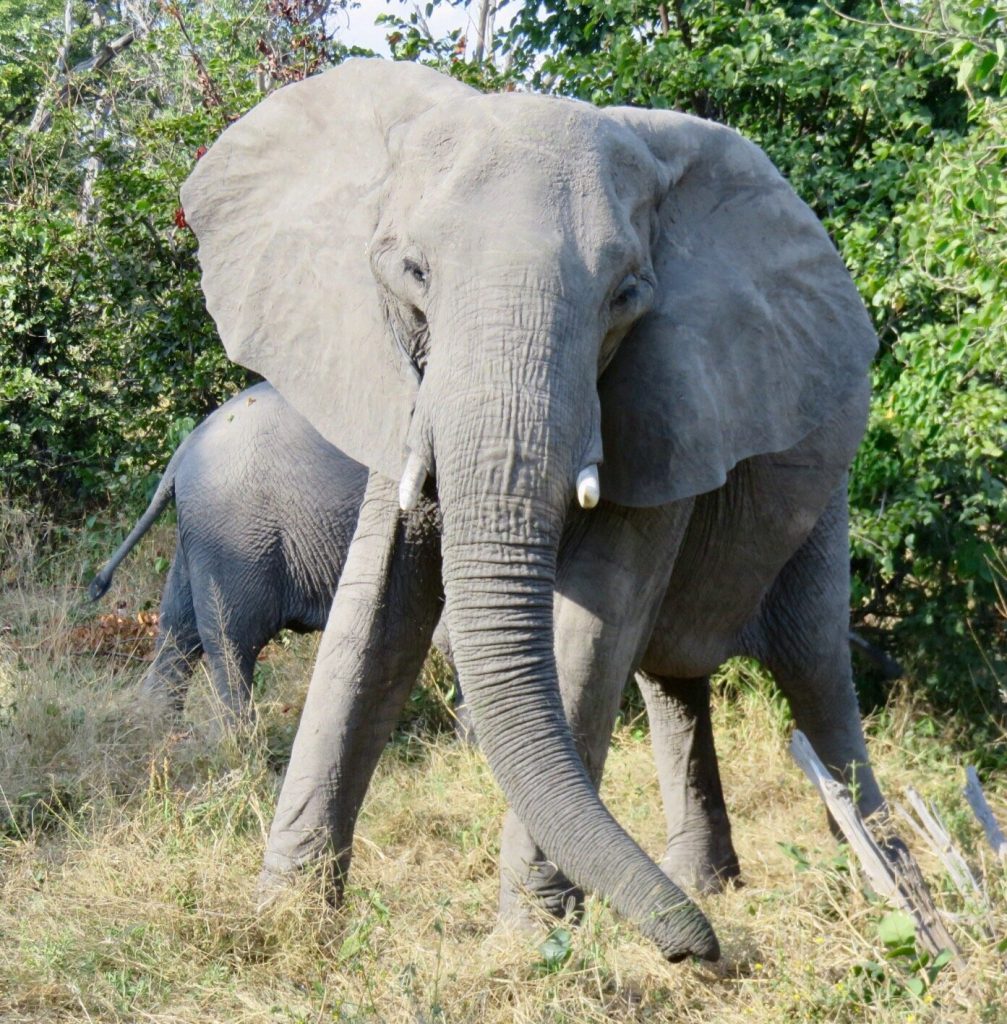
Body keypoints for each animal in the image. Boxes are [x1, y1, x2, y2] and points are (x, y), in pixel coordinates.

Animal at [179, 59, 887, 963]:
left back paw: (878, 882)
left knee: (812, 667)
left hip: (823, 487)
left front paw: (529, 947)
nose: (702, 954)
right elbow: (372, 611)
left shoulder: (669, 396)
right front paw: (286, 924)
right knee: (674, 682)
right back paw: (706, 886)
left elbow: (590, 629)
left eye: (625, 295)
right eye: (411, 272)